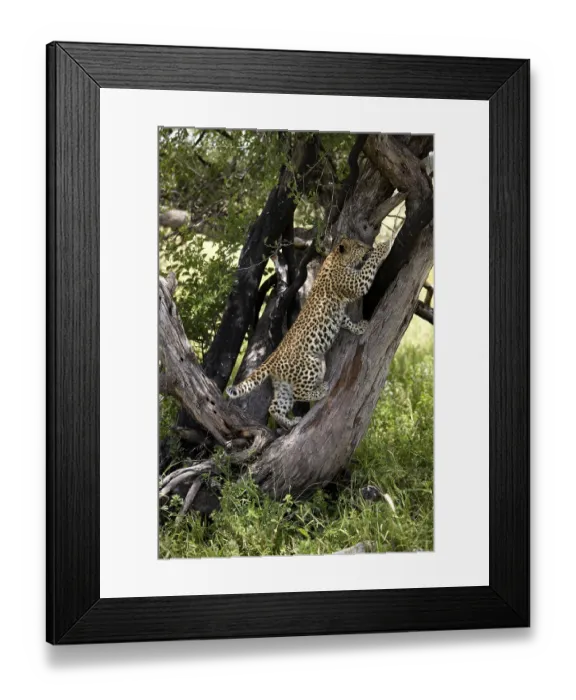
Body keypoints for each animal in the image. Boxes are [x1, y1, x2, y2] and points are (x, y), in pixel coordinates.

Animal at [226, 236, 393, 430]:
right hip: (312, 364)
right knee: (298, 393)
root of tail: (272, 359)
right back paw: (320, 391)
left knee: (275, 407)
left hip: (284, 383)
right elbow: (369, 266)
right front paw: (384, 246)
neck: (335, 258)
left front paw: (358, 327)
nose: (368, 247)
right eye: (359, 246)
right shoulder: (357, 283)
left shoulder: (340, 310)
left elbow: (345, 320)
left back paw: (291, 422)